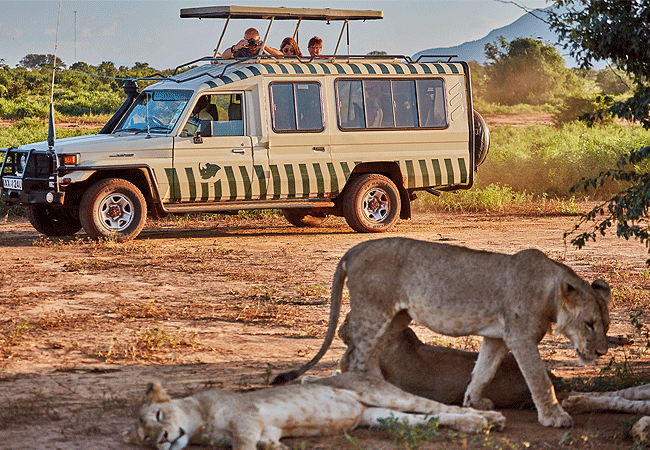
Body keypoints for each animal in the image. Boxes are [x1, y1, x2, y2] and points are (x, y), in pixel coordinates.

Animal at [270, 237, 612, 428]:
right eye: (589, 324)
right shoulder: (521, 337)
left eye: (605, 325)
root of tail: (354, 249)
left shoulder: (497, 337)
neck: (550, 292)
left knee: (362, 357)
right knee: (354, 359)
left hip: (397, 317)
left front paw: (474, 402)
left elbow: (484, 370)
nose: (601, 352)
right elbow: (540, 380)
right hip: (374, 310)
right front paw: (555, 417)